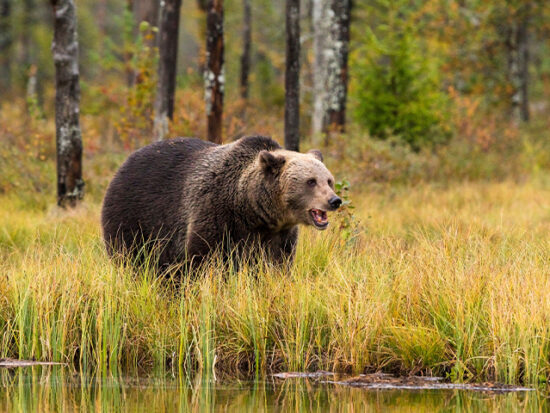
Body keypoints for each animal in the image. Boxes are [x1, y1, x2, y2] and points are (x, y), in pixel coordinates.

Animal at [99, 136, 340, 270]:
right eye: (311, 181)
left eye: (329, 180)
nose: (334, 200)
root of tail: (123, 164)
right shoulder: (215, 213)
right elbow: (203, 259)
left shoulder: (278, 235)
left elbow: (277, 264)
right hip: (134, 217)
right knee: (131, 257)